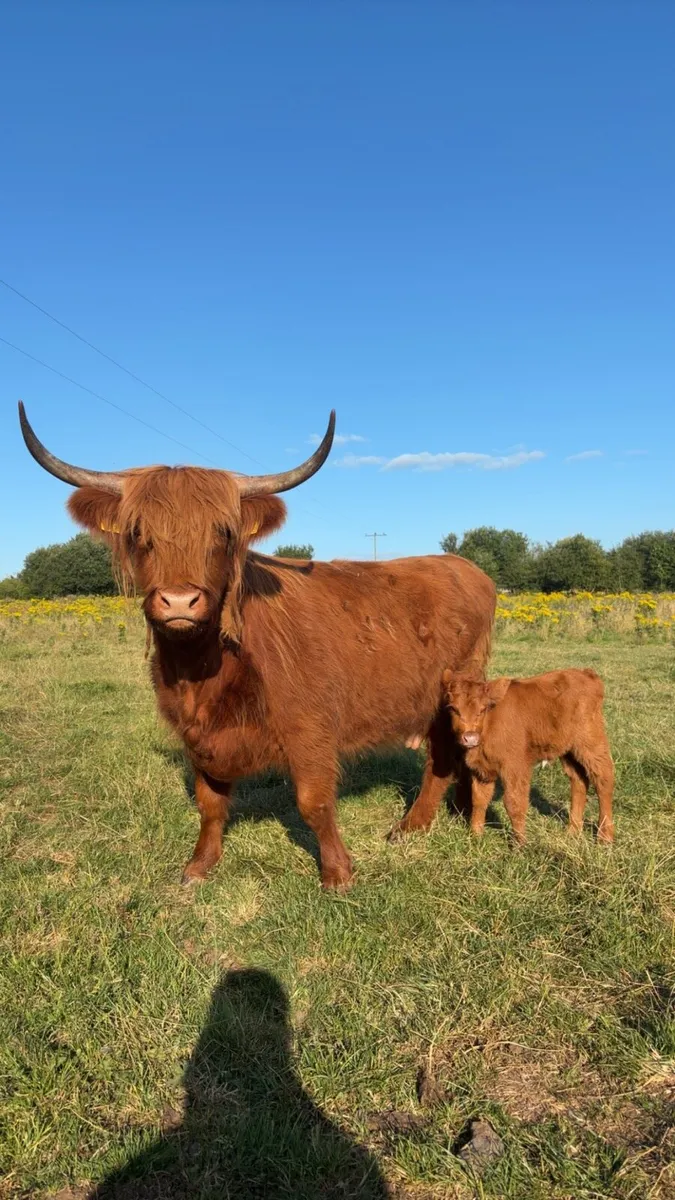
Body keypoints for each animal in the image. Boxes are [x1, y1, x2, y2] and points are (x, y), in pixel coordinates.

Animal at [19, 403, 496, 889]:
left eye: (223, 533)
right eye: (137, 533)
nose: (179, 601)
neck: (199, 671)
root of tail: (462, 566)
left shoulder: (310, 728)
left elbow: (314, 802)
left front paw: (338, 874)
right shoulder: (196, 735)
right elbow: (210, 803)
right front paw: (199, 865)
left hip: (454, 690)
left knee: (441, 757)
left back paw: (408, 827)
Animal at [441, 669, 615, 845]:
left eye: (483, 709)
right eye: (453, 708)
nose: (470, 738)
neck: (488, 727)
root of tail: (585, 673)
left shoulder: (516, 768)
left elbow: (514, 802)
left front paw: (520, 843)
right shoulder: (481, 769)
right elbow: (479, 800)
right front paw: (476, 836)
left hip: (591, 743)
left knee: (603, 780)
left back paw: (604, 836)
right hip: (569, 751)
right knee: (579, 781)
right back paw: (573, 831)